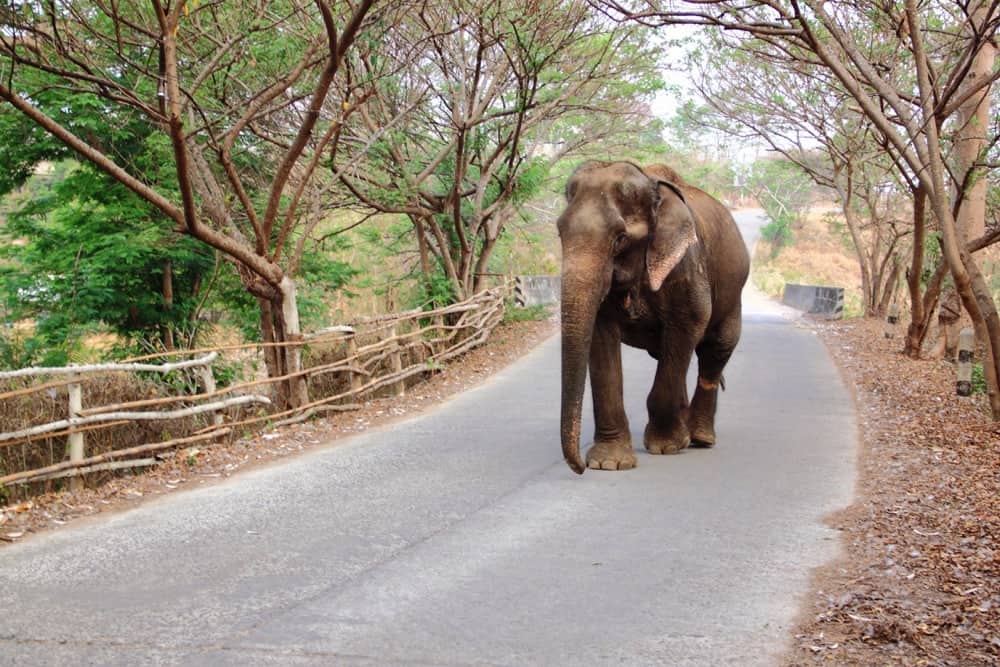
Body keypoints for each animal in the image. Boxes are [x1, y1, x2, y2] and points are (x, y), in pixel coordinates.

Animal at [556, 160, 752, 474]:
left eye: (620, 239)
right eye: (560, 233)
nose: (579, 468)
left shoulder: (686, 268)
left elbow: (689, 324)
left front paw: (665, 446)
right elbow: (601, 338)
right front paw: (609, 463)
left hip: (733, 292)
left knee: (715, 351)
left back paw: (699, 438)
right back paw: (686, 434)